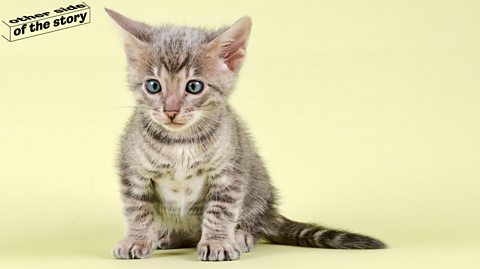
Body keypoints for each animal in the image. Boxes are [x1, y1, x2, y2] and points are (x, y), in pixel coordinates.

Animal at [106, 7, 386, 260]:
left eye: (194, 87)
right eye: (153, 86)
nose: (171, 111)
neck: (181, 142)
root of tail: (269, 211)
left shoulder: (230, 173)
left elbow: (220, 211)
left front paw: (218, 242)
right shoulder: (134, 173)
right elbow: (138, 210)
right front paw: (137, 239)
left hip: (256, 187)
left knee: (250, 224)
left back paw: (239, 236)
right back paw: (168, 237)